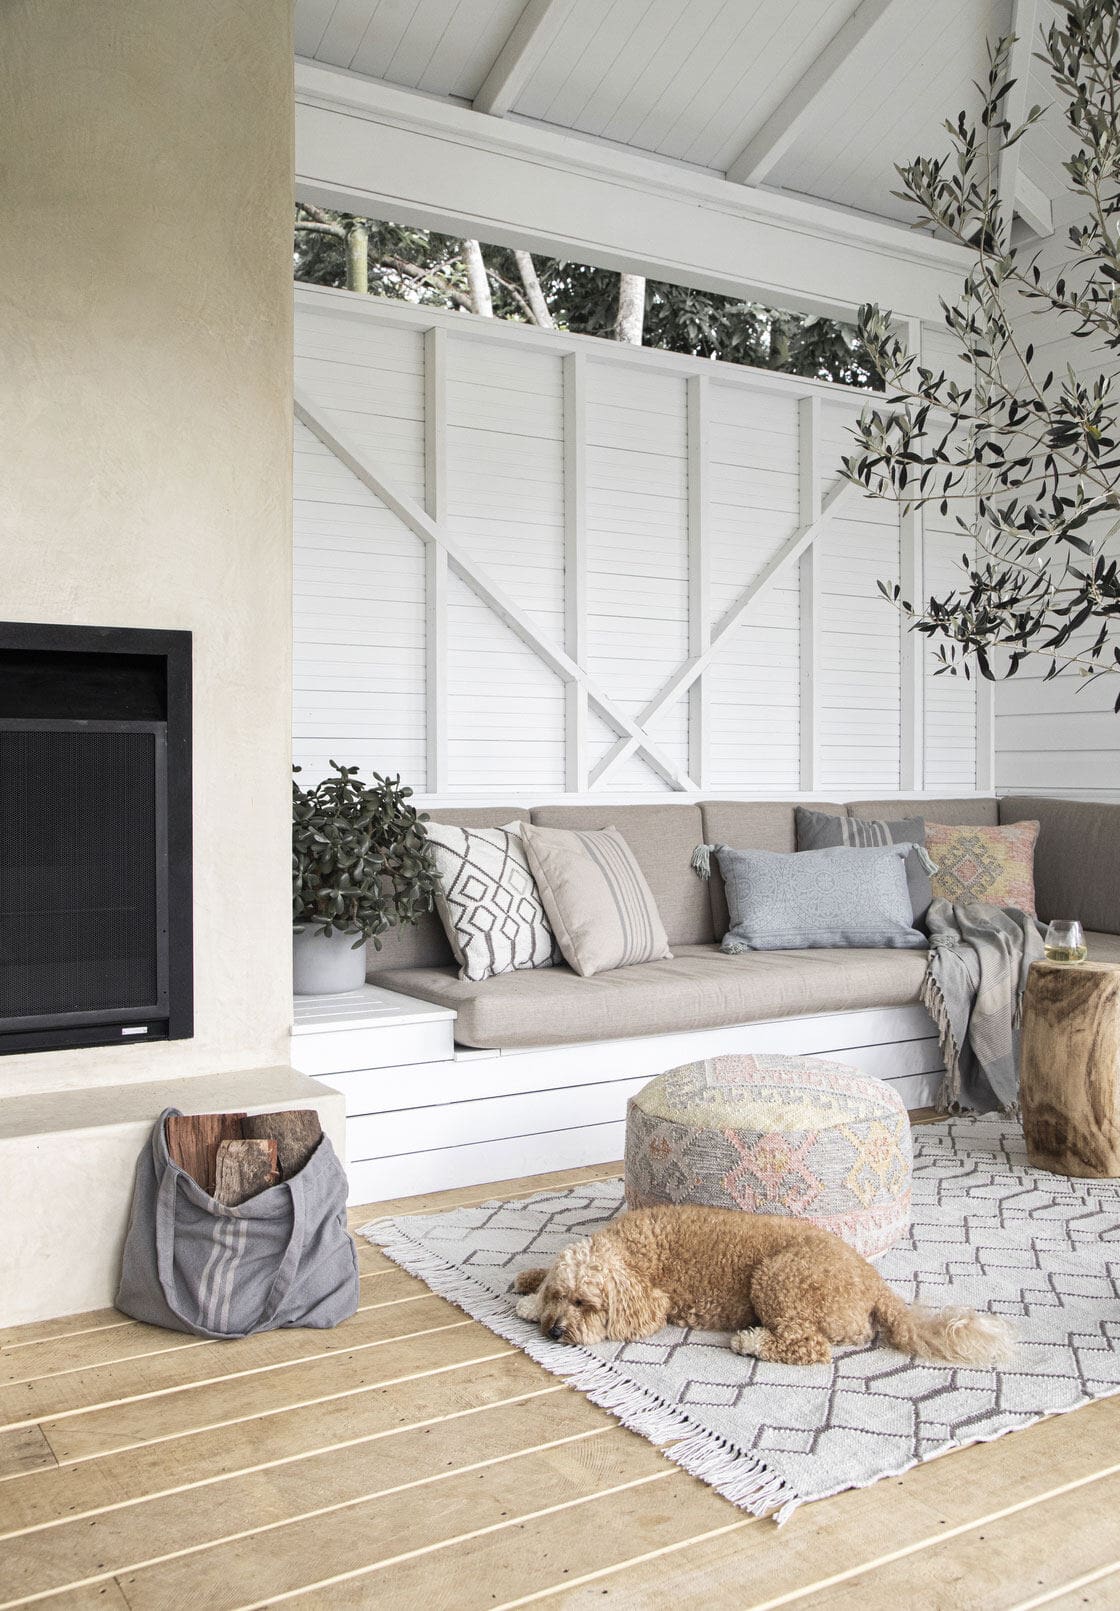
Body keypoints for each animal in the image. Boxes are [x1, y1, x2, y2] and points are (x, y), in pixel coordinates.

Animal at [515, 1205, 1018, 1366]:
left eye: (586, 1303)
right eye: (561, 1296)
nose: (555, 1331)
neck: (628, 1248)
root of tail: (875, 1283)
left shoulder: (653, 1304)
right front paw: (529, 1288)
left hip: (778, 1278)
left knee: (811, 1346)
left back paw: (751, 1341)